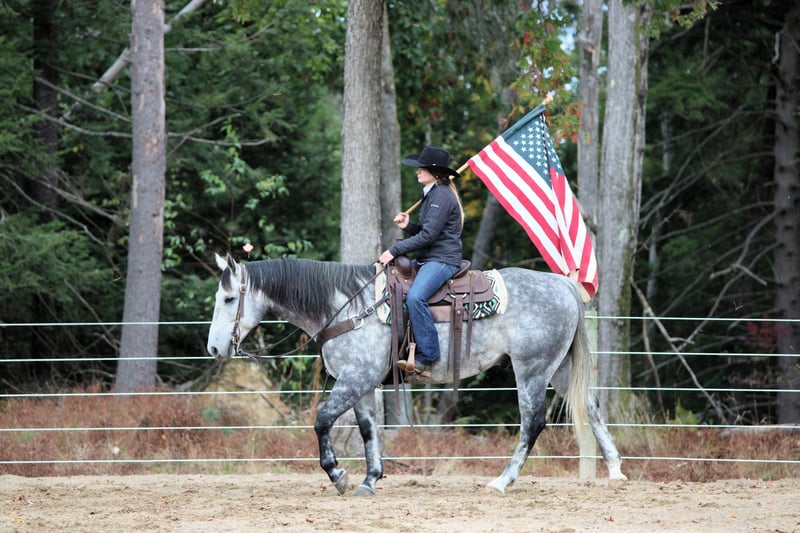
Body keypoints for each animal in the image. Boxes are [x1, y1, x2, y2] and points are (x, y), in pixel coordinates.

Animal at [206, 253, 627, 496]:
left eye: (229, 298)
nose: (213, 349)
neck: (349, 307)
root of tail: (563, 284)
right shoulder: (361, 383)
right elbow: (368, 429)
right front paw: (370, 479)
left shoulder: (355, 379)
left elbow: (322, 420)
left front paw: (339, 476)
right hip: (560, 367)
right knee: (592, 408)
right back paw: (616, 473)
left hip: (533, 368)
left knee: (533, 422)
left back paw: (502, 481)